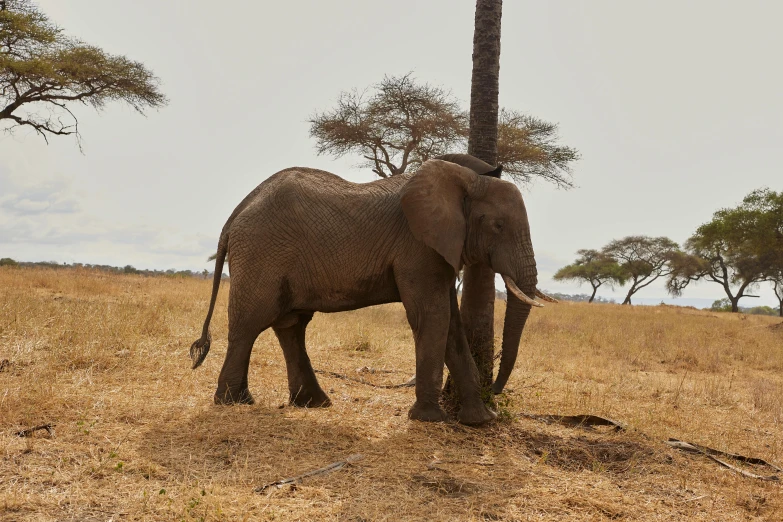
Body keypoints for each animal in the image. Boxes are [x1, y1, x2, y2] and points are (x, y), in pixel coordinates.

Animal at [190, 157, 544, 422]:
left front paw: (481, 420)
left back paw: (313, 404)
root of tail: (235, 215)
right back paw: (235, 402)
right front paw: (430, 419)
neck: (463, 181)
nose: (495, 390)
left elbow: (451, 325)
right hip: (261, 253)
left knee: (291, 325)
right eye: (498, 226)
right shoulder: (416, 247)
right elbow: (432, 317)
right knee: (250, 324)